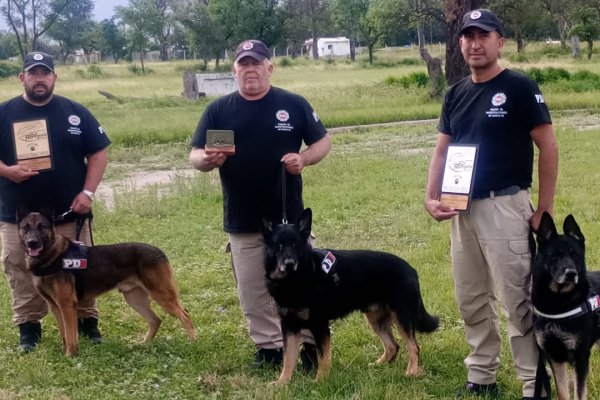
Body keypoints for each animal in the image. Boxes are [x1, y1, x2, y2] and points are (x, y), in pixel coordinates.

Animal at [17, 206, 196, 356]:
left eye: (41, 227)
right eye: (26, 227)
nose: (32, 243)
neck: (52, 257)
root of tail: (159, 251)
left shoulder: (67, 305)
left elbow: (70, 334)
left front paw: (70, 356)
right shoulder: (55, 307)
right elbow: (64, 334)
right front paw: (66, 353)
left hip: (161, 295)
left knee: (185, 315)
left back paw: (193, 343)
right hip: (135, 299)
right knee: (156, 320)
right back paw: (144, 344)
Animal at [260, 208, 438, 382]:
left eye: (295, 244)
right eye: (278, 244)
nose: (289, 264)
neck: (295, 279)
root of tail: (411, 269)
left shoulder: (320, 326)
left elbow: (323, 358)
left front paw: (320, 381)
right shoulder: (289, 326)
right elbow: (288, 358)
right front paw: (282, 383)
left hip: (401, 316)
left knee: (413, 346)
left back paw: (412, 371)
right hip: (375, 318)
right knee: (393, 345)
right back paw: (379, 365)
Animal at [532, 211, 600, 398]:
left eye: (574, 254)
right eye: (554, 256)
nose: (571, 274)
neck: (559, 302)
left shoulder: (581, 357)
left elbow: (579, 393)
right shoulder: (554, 356)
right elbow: (563, 392)